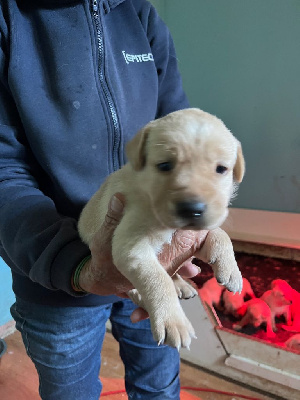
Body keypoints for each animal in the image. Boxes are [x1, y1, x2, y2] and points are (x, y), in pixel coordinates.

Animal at [78, 108, 245, 350]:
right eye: (165, 165)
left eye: (221, 169)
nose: (192, 209)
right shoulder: (132, 246)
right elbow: (158, 279)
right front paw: (172, 321)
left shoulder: (195, 236)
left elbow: (220, 234)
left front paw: (231, 270)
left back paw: (182, 285)